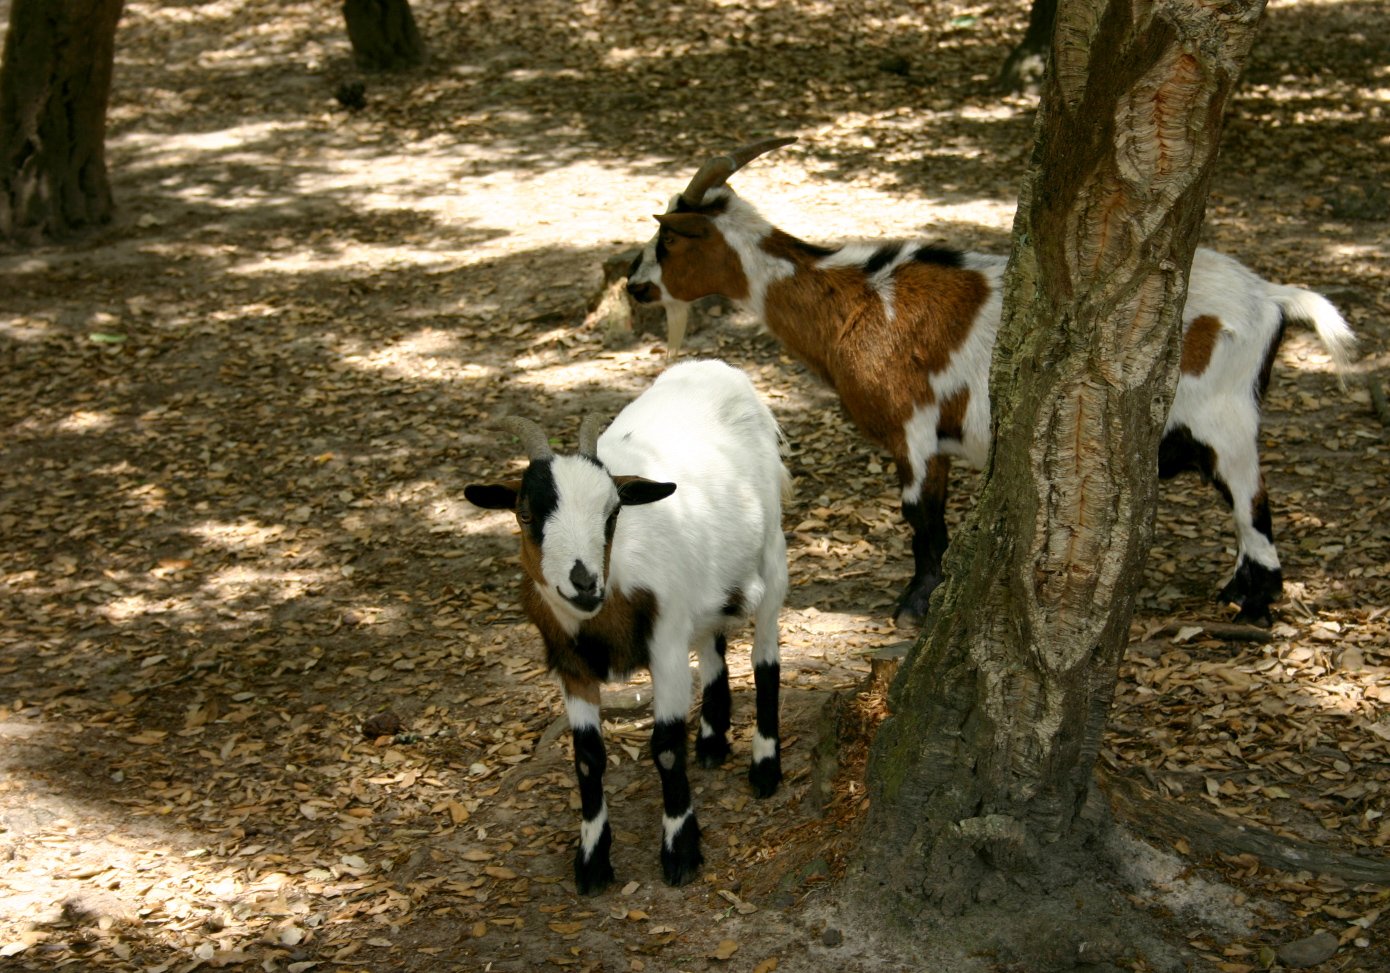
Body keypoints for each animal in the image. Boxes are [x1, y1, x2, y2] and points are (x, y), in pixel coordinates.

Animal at [628, 136, 1356, 628]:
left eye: (667, 243)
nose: (634, 286)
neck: (855, 296)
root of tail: (1271, 297)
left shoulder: (914, 427)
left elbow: (922, 521)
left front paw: (914, 606)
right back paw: (1236, 591)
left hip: (1224, 417)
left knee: (1254, 501)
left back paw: (1254, 606)